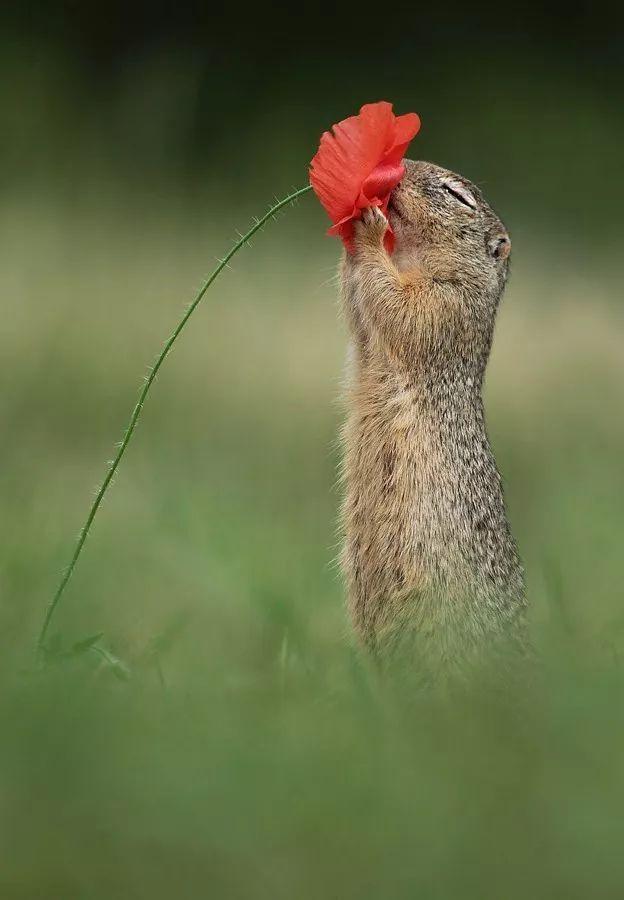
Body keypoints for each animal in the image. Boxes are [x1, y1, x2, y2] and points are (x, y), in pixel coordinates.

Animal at [342, 160, 528, 668]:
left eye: (456, 195)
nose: (399, 166)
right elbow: (360, 314)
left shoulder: (448, 304)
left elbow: (401, 307)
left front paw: (368, 230)